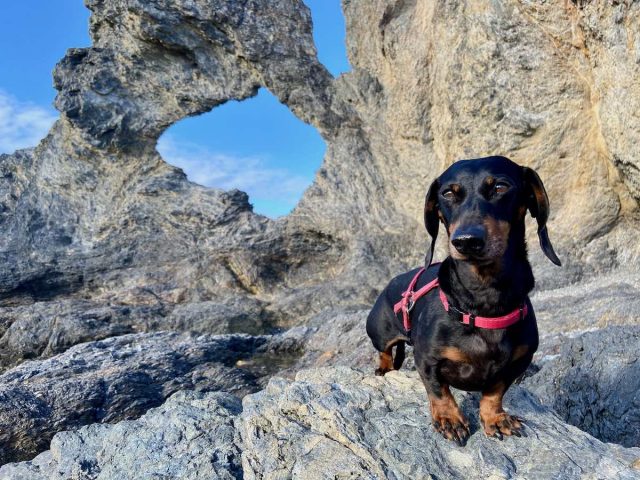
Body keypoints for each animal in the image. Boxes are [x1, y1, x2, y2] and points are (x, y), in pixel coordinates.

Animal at [364, 157, 560, 446]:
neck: (483, 299)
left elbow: (494, 392)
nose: (467, 241)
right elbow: (439, 391)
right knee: (385, 352)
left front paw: (495, 418)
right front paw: (450, 419)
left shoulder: (518, 363)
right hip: (380, 332)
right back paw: (384, 369)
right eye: (447, 193)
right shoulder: (427, 360)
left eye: (501, 187)